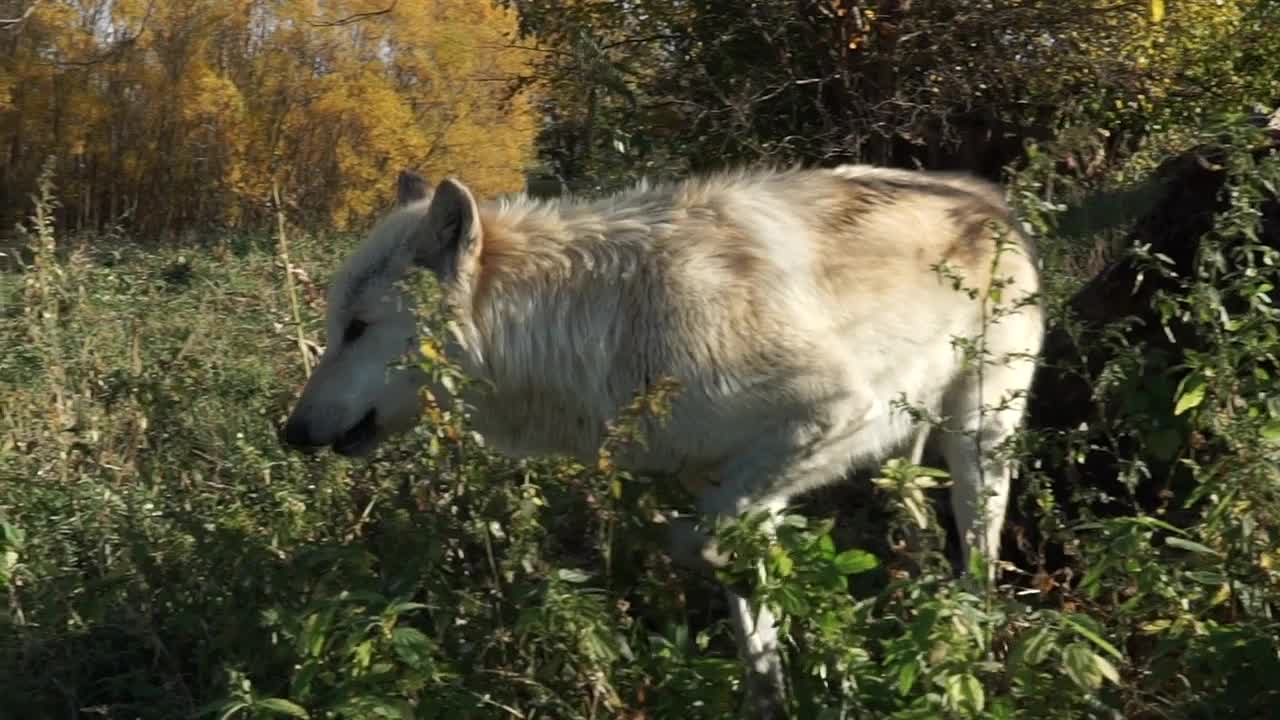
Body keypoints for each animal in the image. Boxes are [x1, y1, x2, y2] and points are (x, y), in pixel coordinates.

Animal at [277, 163, 1039, 717]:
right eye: (335, 322)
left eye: (358, 329)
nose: (290, 432)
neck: (594, 326)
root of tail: (995, 202)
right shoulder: (725, 481)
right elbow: (751, 624)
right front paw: (773, 700)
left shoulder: (833, 411)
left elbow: (698, 539)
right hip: (901, 466)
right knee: (922, 535)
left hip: (977, 446)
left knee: (979, 563)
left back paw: (964, 646)